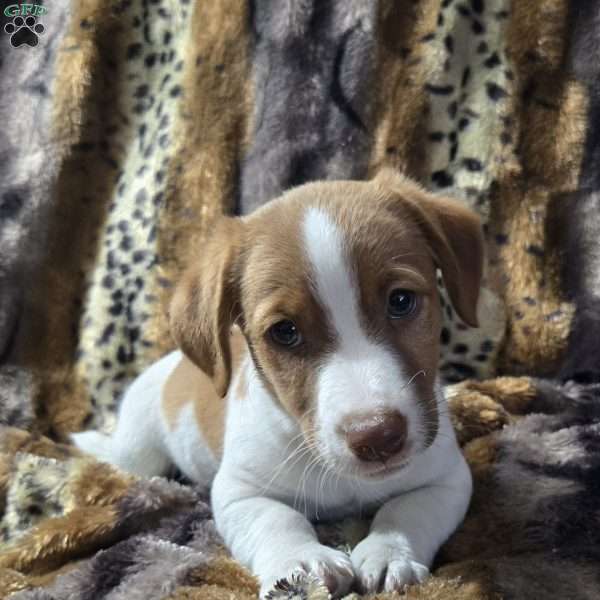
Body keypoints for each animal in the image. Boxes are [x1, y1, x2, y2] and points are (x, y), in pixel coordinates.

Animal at [72, 170, 482, 600]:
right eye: (285, 332)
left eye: (401, 300)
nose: (377, 437)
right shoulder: (239, 491)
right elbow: (278, 520)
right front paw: (302, 562)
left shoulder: (448, 476)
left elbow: (407, 510)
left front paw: (390, 552)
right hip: (139, 453)